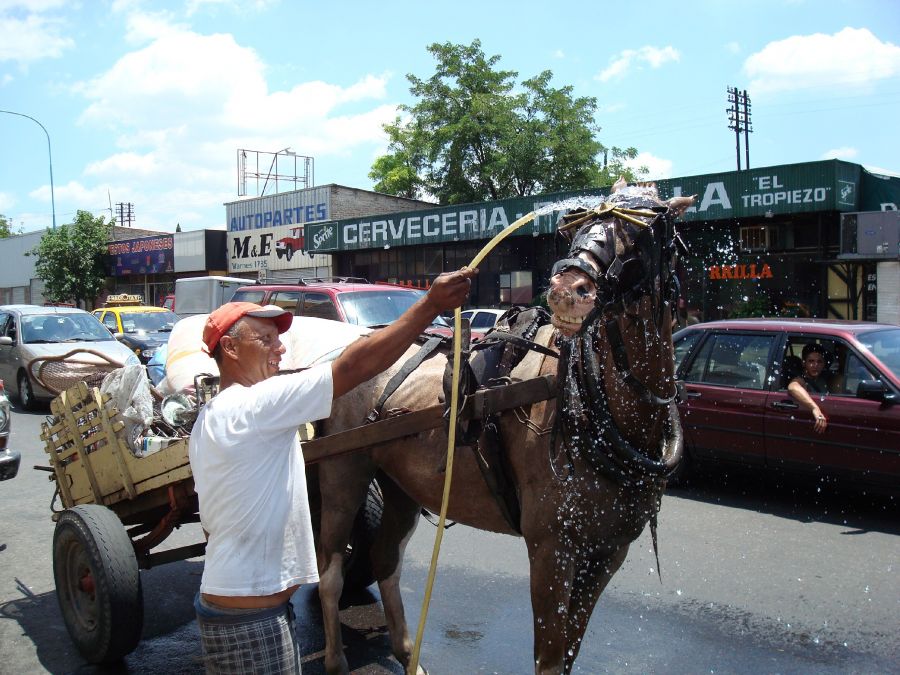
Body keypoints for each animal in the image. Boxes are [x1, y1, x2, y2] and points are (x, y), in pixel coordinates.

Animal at [314, 181, 696, 675]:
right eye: (580, 221)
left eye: (643, 227)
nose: (567, 289)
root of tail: (335, 360)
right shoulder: (551, 548)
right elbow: (549, 657)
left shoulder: (608, 552)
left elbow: (570, 652)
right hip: (344, 473)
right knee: (330, 570)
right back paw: (336, 658)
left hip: (400, 484)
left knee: (384, 560)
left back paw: (406, 653)